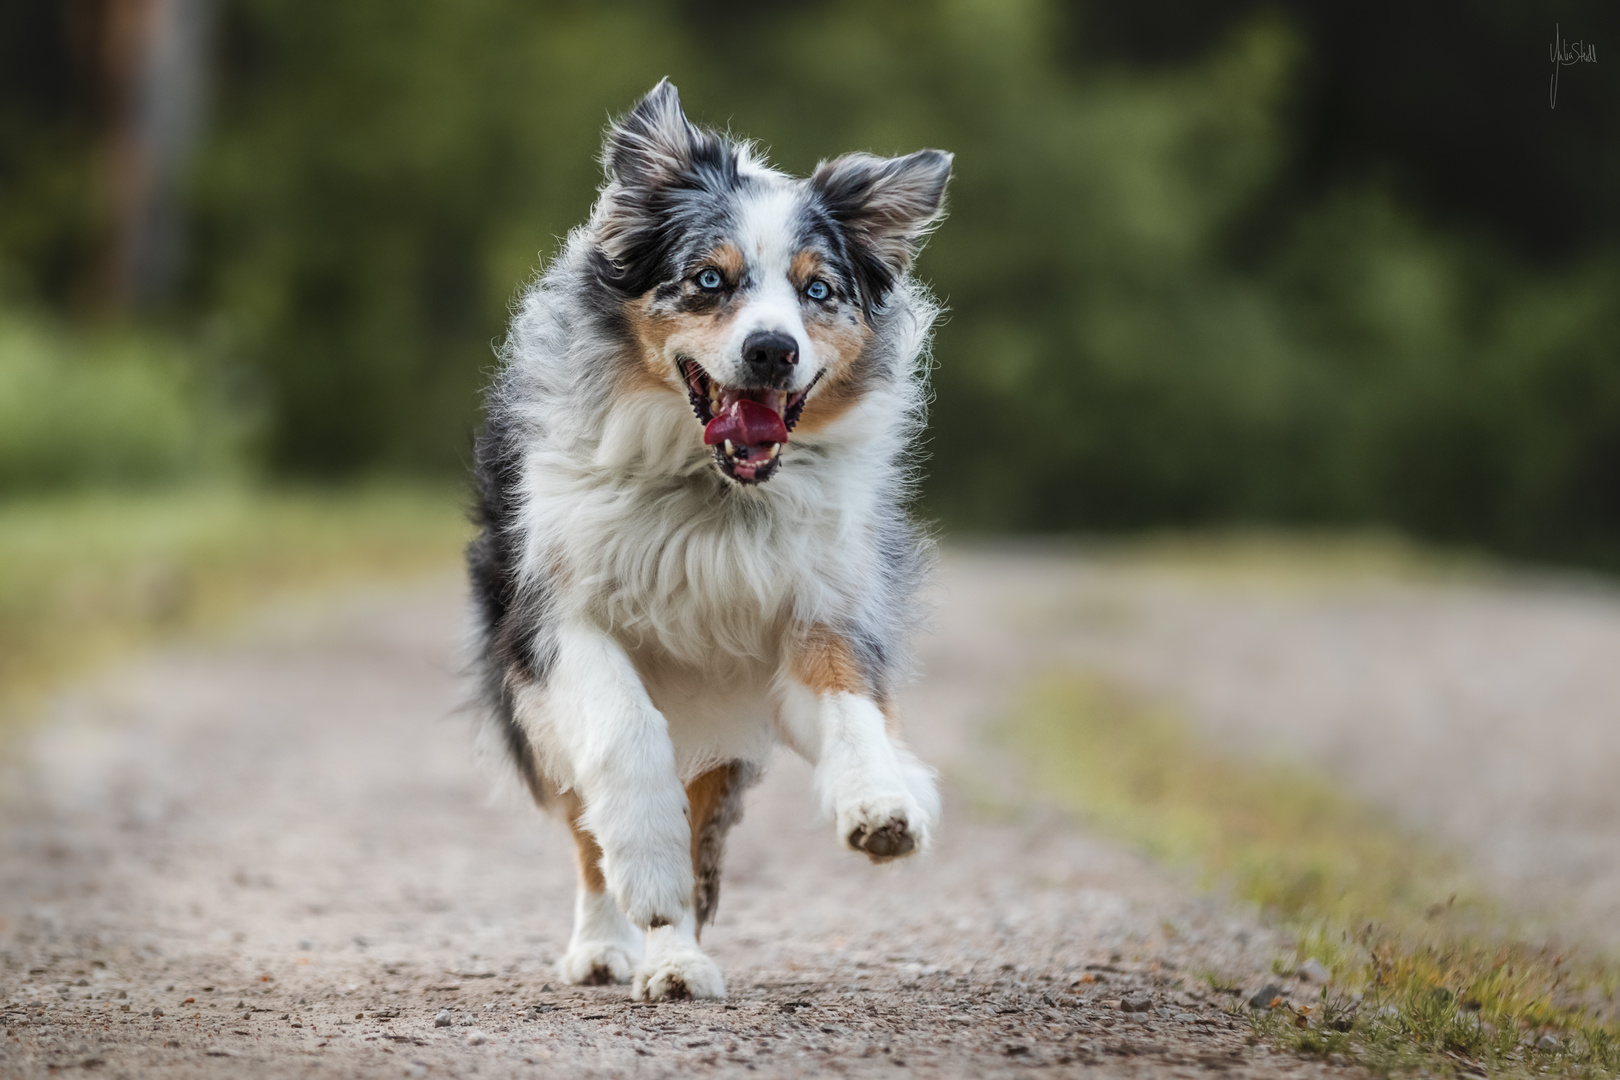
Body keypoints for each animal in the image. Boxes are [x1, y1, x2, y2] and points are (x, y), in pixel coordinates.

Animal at [469, 80, 946, 1003]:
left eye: (818, 292)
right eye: (709, 278)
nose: (772, 349)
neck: (715, 496)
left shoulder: (820, 606)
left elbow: (851, 704)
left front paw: (882, 802)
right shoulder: (550, 617)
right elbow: (623, 733)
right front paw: (645, 871)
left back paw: (677, 962)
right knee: (589, 827)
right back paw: (610, 944)